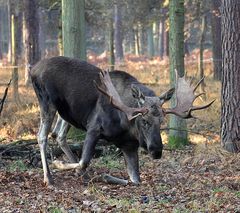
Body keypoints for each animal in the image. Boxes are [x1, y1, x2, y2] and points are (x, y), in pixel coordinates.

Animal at [30, 55, 214, 186]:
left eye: (162, 121)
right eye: (144, 120)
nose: (156, 151)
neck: (125, 125)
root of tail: (33, 69)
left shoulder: (129, 145)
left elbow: (136, 180)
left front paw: (104, 176)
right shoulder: (94, 127)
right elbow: (84, 161)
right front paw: (59, 163)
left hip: (65, 112)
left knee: (58, 134)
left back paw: (83, 174)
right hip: (47, 101)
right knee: (42, 136)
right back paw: (49, 178)